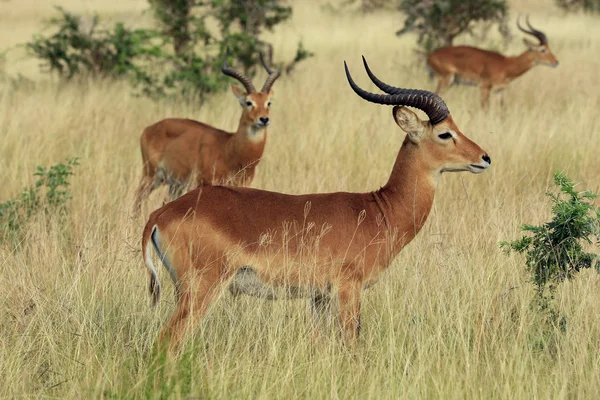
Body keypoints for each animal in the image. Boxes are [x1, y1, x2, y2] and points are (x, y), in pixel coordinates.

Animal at [132, 53, 282, 217]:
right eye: (249, 102)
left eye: (268, 102)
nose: (264, 119)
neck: (230, 149)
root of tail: (149, 128)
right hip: (151, 175)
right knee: (138, 197)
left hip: (174, 184)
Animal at [426, 15, 556, 107]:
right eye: (543, 50)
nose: (556, 62)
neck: (506, 64)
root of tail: (430, 54)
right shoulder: (484, 87)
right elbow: (485, 108)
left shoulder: (500, 90)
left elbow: (502, 109)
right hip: (446, 79)